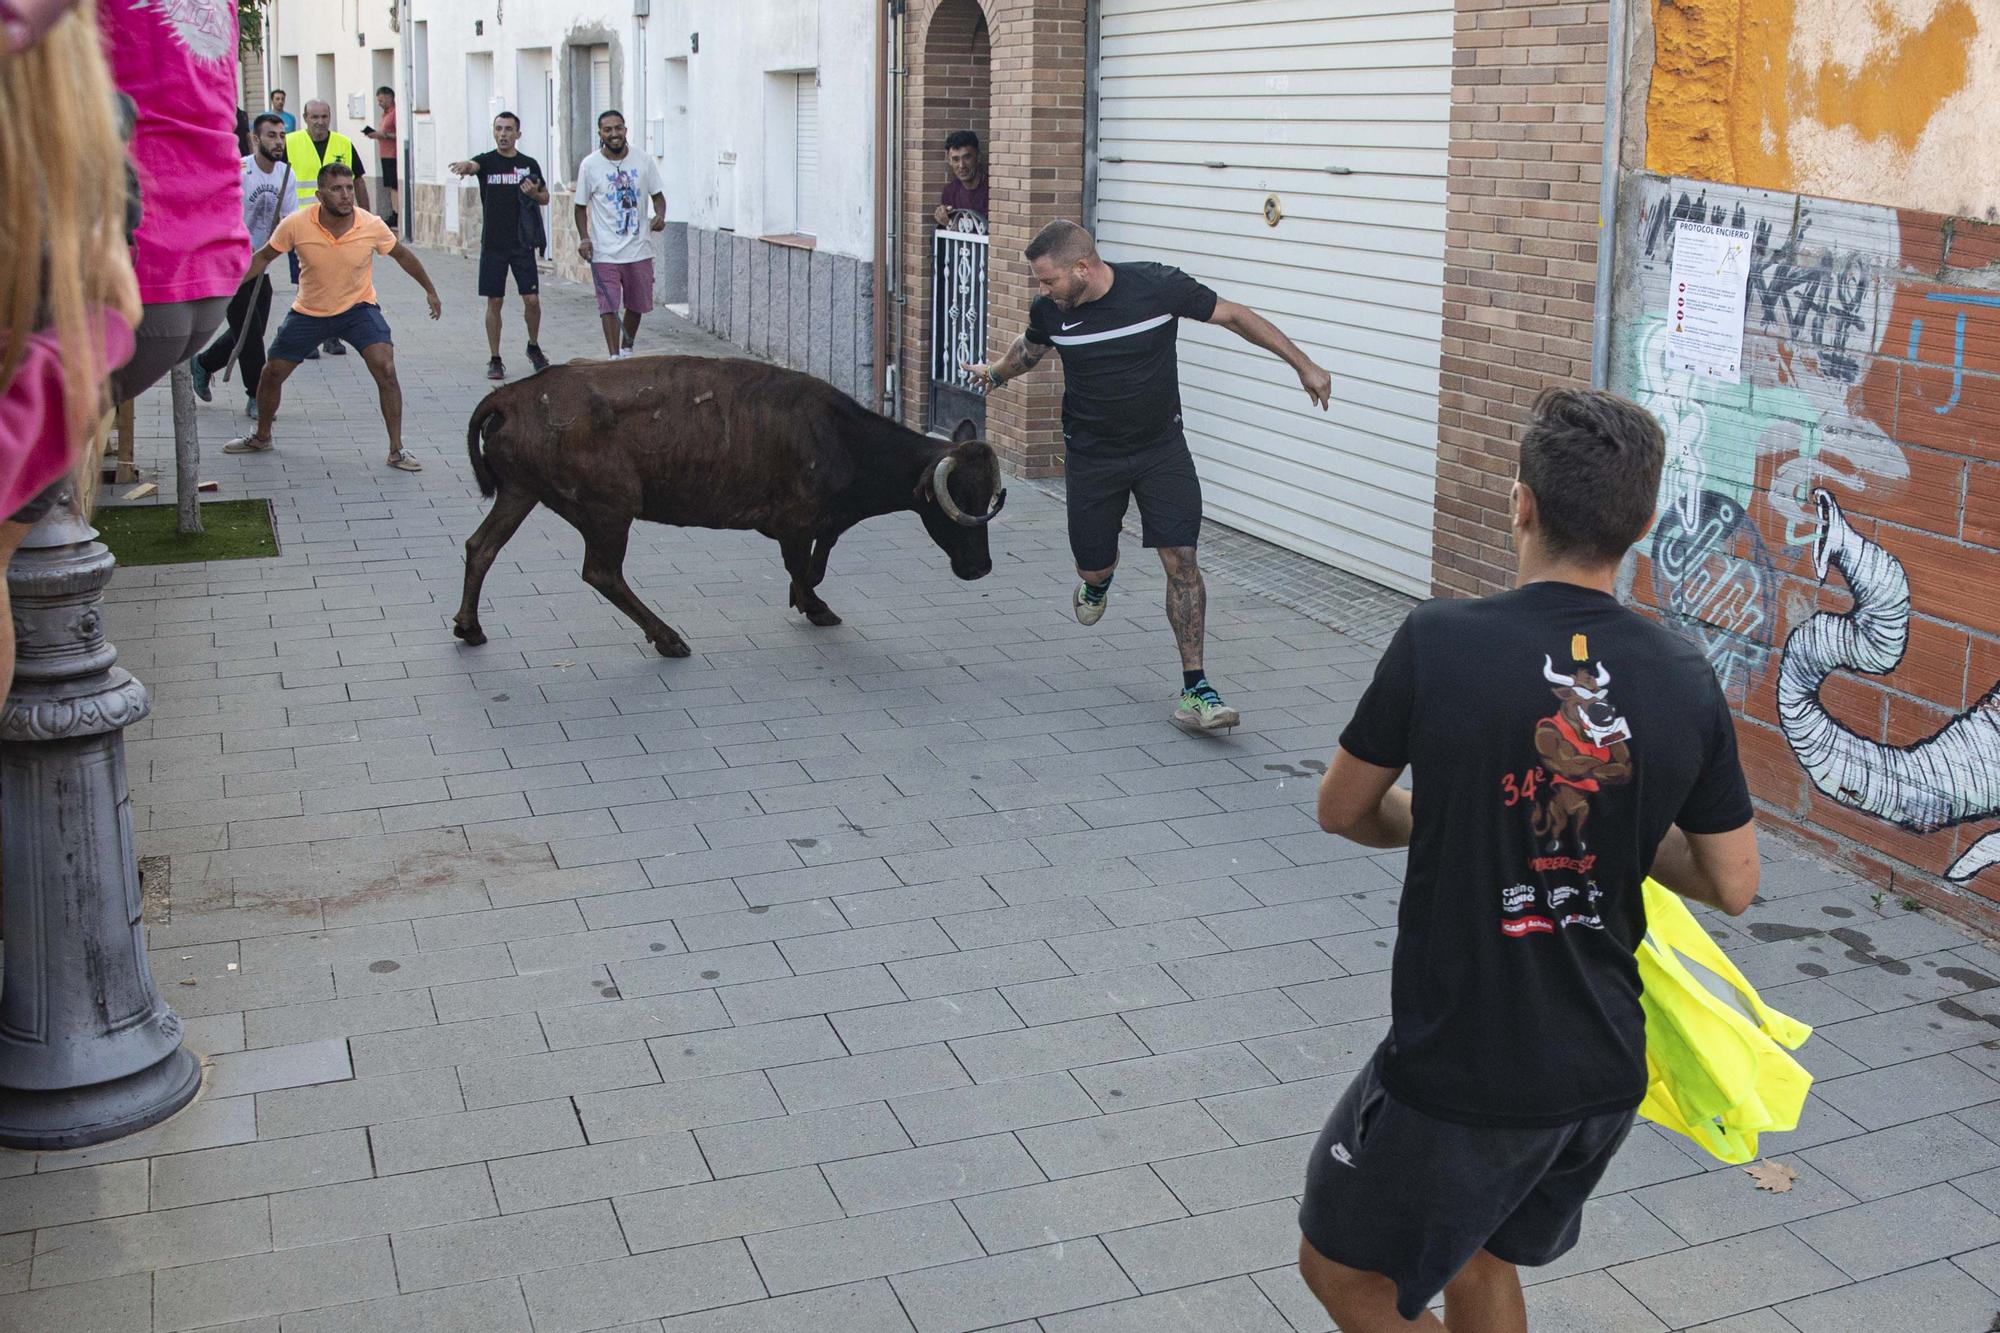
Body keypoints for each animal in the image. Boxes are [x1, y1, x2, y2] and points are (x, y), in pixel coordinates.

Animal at [458, 356, 1008, 656]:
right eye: (958, 502)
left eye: (987, 495)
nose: (980, 568)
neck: (841, 436)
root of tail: (512, 396)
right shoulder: (795, 522)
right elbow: (803, 568)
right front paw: (814, 607)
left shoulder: (818, 524)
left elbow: (815, 562)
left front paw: (809, 599)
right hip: (609, 507)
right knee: (601, 572)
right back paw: (668, 639)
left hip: (521, 492)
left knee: (481, 546)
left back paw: (470, 627)